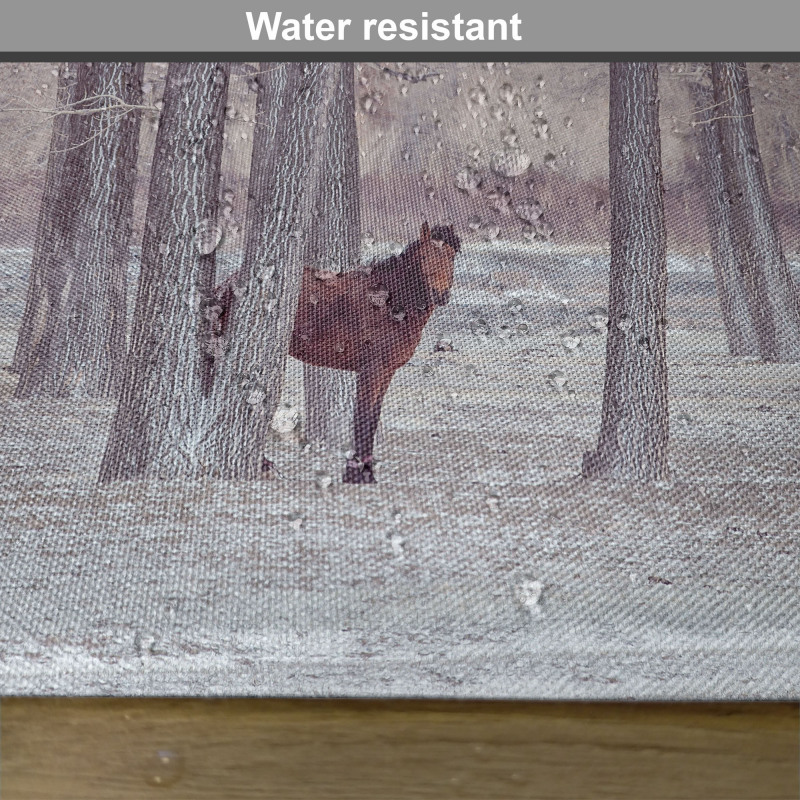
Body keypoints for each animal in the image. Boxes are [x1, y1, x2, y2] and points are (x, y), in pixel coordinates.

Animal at [216, 222, 460, 484]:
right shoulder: (371, 370)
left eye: (452, 255)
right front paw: (357, 475)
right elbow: (362, 417)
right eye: (424, 257)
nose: (441, 296)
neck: (389, 303)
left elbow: (372, 418)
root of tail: (229, 282)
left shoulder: (386, 372)